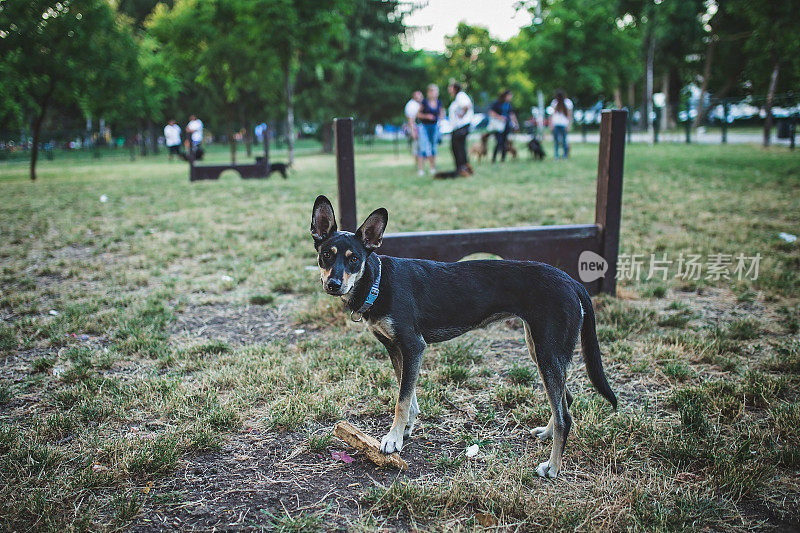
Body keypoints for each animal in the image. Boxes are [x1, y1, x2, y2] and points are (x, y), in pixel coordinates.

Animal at [310, 195, 616, 478]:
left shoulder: (413, 347)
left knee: (565, 416)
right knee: (565, 400)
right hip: (540, 349)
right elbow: (408, 397)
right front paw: (406, 429)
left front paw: (392, 440)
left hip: (547, 352)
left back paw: (552, 467)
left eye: (354, 259)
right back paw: (547, 434)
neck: (378, 281)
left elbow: (401, 400)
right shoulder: (396, 350)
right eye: (327, 255)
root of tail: (572, 282)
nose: (333, 284)